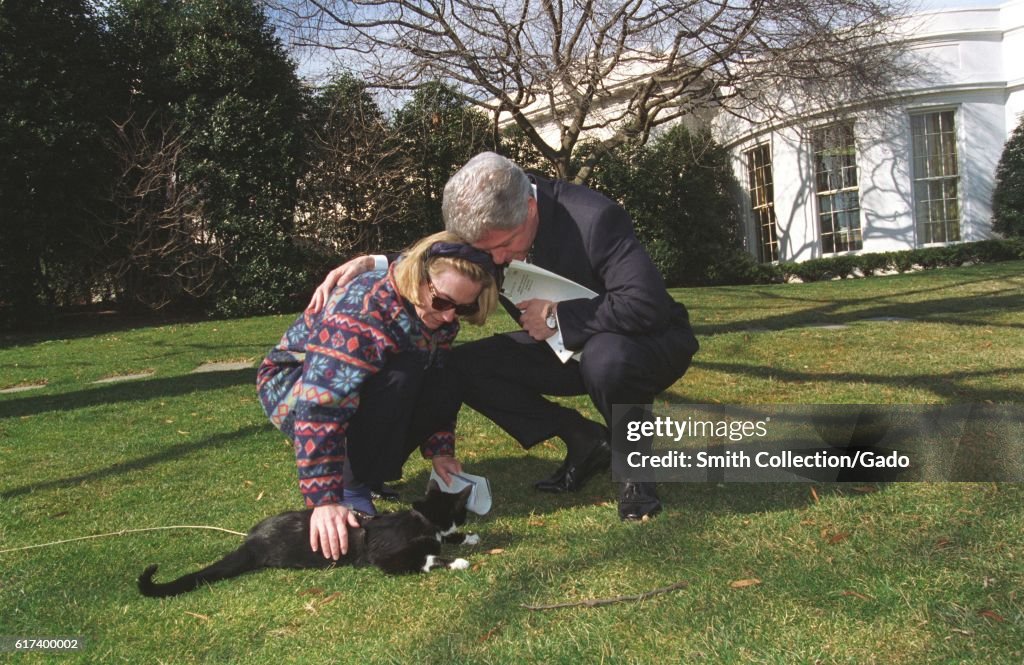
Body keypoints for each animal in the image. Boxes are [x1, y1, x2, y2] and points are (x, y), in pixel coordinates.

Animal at [135, 477, 479, 598]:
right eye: (463, 511)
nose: (467, 520)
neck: (421, 521)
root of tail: (250, 541)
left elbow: (445, 540)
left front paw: (468, 539)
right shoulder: (388, 558)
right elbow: (428, 558)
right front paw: (458, 561)